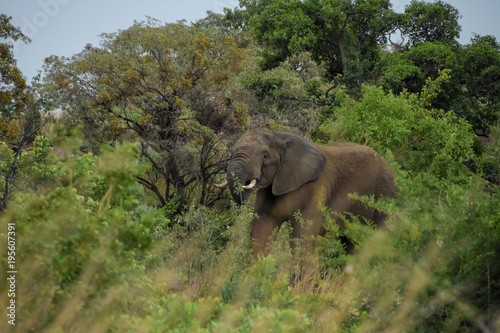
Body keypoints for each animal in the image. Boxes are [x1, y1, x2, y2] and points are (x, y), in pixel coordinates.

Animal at [217, 129, 396, 254]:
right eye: (231, 152)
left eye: (265, 156)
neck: (281, 136)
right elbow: (261, 229)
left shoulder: (315, 188)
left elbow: (302, 235)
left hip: (386, 196)